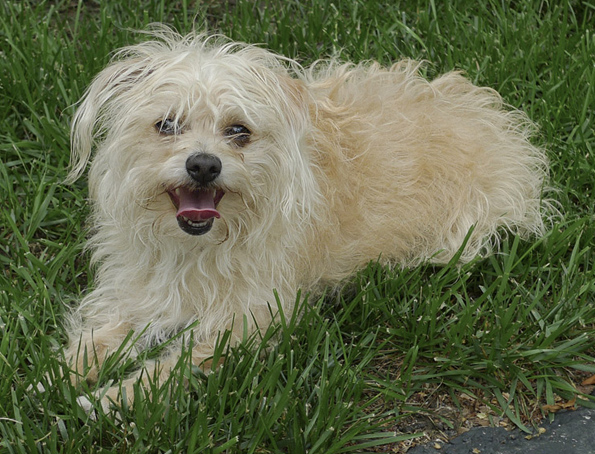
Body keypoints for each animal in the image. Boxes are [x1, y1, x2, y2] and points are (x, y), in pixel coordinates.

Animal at [64, 27, 548, 412]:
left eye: (239, 131)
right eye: (167, 124)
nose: (203, 164)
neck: (195, 247)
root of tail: (494, 118)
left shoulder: (248, 319)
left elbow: (177, 367)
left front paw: (112, 399)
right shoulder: (137, 289)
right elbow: (100, 335)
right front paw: (65, 376)